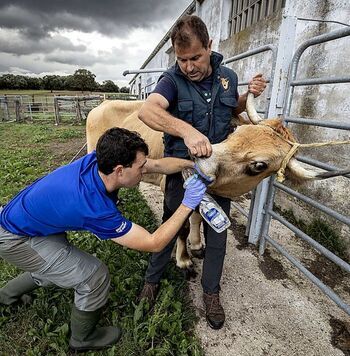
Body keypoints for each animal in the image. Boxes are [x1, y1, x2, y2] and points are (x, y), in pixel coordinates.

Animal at [87, 94, 344, 270]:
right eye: (234, 132)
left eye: (259, 165)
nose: (201, 158)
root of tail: (100, 105)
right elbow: (181, 224)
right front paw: (183, 259)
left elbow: (197, 217)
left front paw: (197, 244)